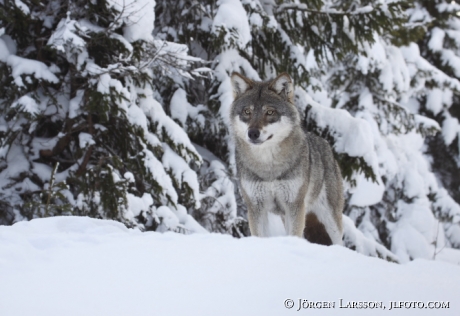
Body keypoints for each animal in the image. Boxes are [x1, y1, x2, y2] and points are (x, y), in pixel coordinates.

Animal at [228, 71, 344, 244]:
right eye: (247, 112)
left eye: (269, 112)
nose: (253, 133)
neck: (268, 166)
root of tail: (326, 144)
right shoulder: (256, 207)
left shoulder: (294, 206)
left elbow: (294, 234)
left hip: (330, 220)